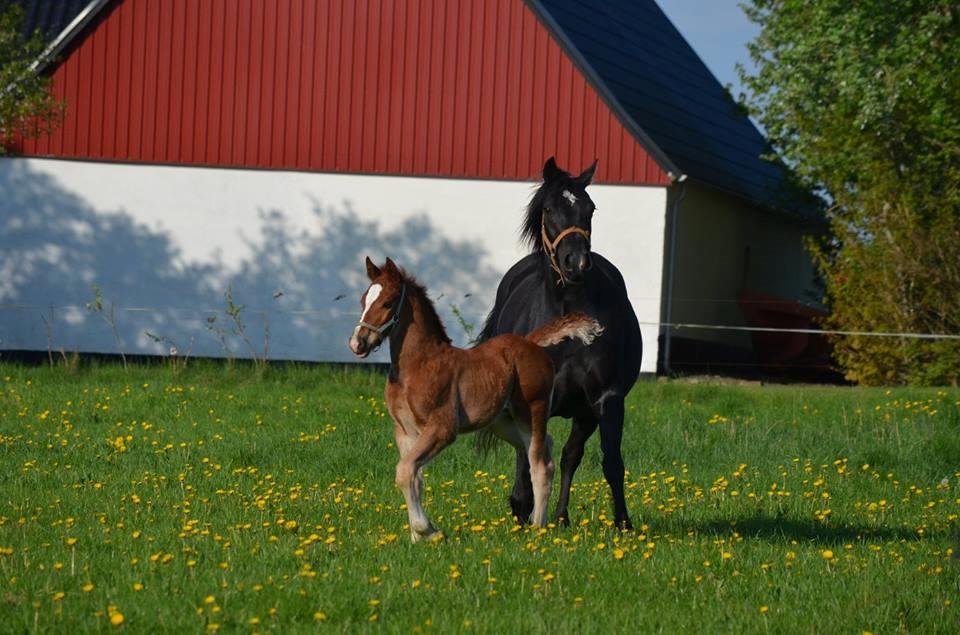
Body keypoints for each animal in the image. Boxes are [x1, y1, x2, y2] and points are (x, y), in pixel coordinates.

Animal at [348, 256, 604, 544]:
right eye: (363, 301)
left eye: (387, 302)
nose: (357, 343)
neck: (418, 365)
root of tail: (530, 343)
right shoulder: (404, 431)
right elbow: (413, 476)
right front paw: (417, 537)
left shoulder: (442, 428)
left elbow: (404, 471)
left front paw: (428, 531)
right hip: (503, 423)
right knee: (542, 446)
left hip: (532, 411)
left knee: (541, 465)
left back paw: (537, 528)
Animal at [478, 157, 640, 528]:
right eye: (549, 208)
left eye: (590, 208)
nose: (576, 263)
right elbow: (529, 457)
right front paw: (522, 508)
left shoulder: (606, 400)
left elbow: (611, 462)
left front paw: (623, 524)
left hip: (583, 414)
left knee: (570, 456)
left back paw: (561, 517)